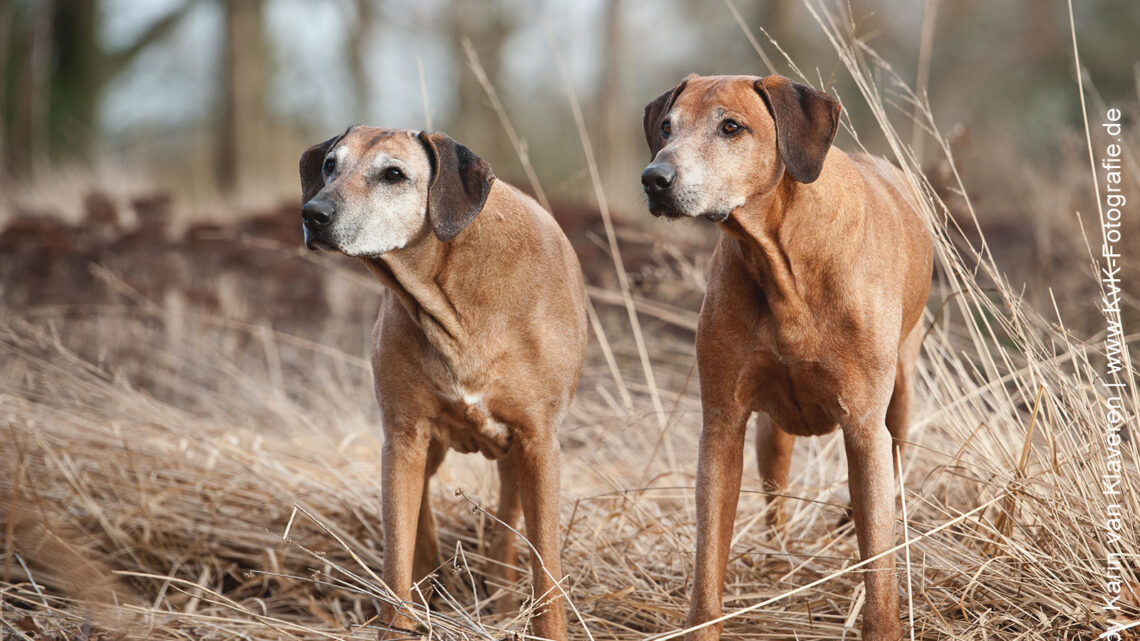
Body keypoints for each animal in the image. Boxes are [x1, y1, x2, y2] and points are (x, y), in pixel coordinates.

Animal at [298, 126, 583, 638]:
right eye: (330, 165)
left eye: (393, 174)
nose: (314, 213)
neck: (453, 294)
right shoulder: (403, 435)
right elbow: (397, 552)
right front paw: (398, 621)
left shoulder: (539, 442)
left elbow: (544, 564)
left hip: (516, 457)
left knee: (506, 530)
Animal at [638, 75, 930, 638]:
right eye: (666, 126)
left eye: (731, 127)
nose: (654, 178)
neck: (780, 258)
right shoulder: (723, 424)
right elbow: (709, 562)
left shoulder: (864, 425)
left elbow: (879, 569)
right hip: (771, 432)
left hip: (901, 397)